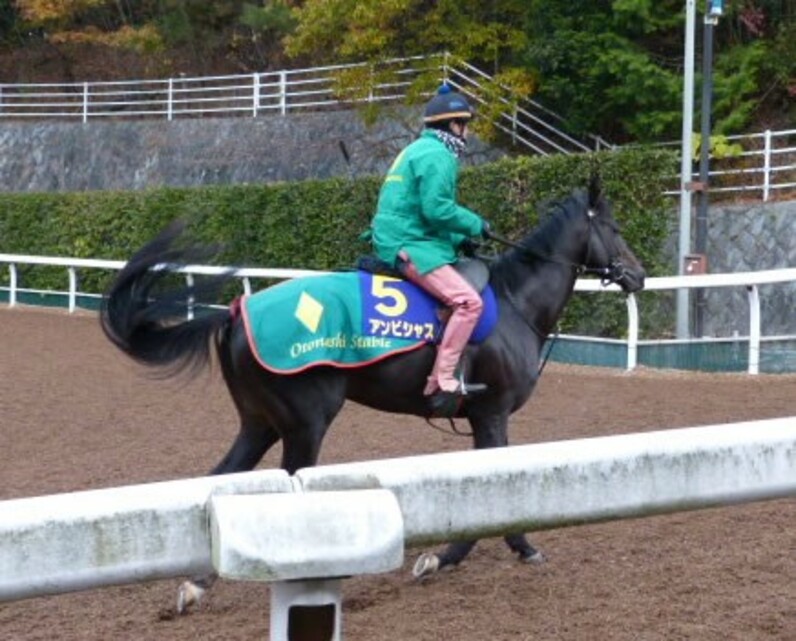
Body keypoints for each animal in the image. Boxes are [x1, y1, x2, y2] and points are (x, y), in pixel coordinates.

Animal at [99, 176, 648, 608]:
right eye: (616, 228)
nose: (638, 275)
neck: (514, 301)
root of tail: (237, 313)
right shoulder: (492, 413)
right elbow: (496, 490)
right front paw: (466, 554)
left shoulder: (479, 417)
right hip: (305, 424)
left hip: (259, 422)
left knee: (222, 478)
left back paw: (196, 583)